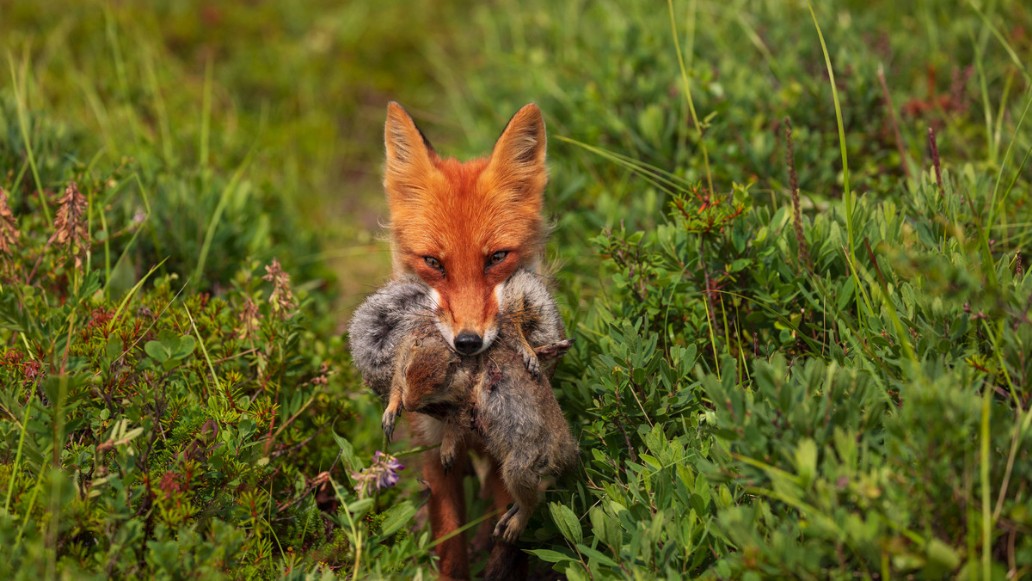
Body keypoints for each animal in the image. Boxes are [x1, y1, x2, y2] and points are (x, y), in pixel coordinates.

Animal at [381, 102, 549, 577]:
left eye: (497, 258)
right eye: (433, 262)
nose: (469, 343)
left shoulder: (508, 449)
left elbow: (508, 534)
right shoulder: (435, 454)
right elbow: (450, 550)